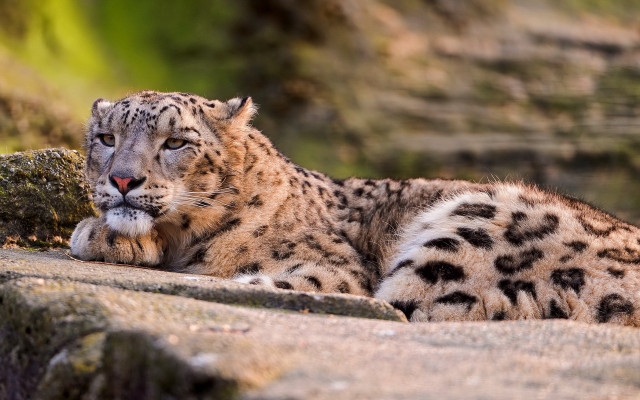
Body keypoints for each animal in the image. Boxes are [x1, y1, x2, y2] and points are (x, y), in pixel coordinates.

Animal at [71, 90, 640, 326]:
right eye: (106, 137)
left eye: (176, 142)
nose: (123, 179)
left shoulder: (333, 268)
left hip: (469, 231)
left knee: (402, 305)